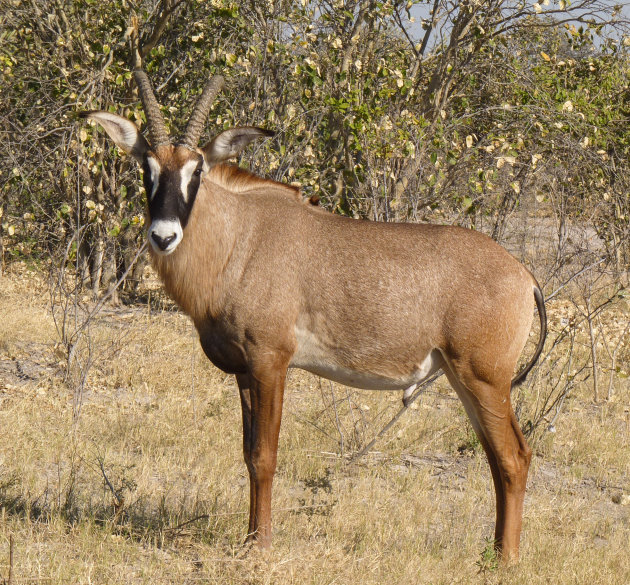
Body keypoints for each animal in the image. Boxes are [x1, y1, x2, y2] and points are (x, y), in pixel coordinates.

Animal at [81, 66, 548, 560]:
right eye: (146, 167)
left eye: (198, 169)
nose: (163, 235)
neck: (241, 237)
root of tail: (524, 277)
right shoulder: (244, 371)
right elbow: (247, 454)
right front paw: (250, 536)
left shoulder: (271, 361)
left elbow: (265, 455)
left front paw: (261, 545)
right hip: (465, 380)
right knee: (497, 458)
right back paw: (493, 553)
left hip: (484, 378)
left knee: (513, 457)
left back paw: (505, 561)